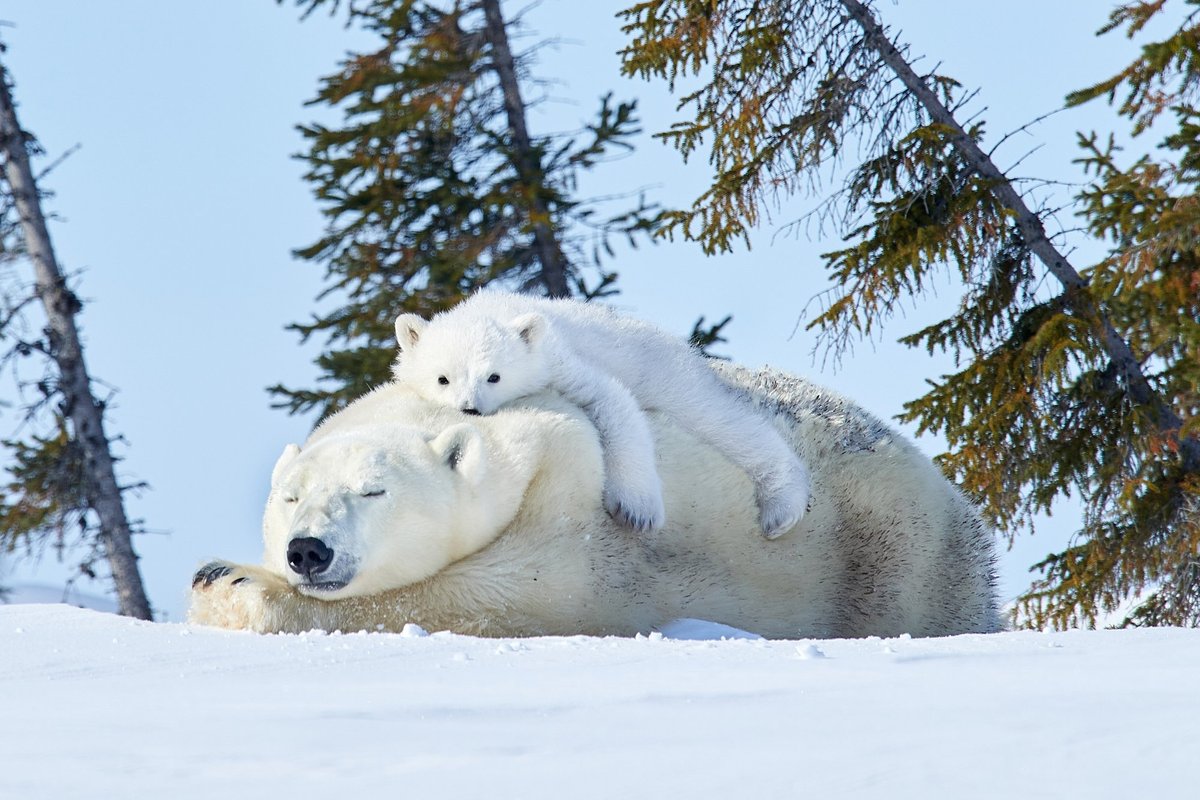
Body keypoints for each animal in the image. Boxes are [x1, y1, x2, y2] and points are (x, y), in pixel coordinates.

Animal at [189, 364, 993, 638]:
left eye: (373, 490)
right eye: (290, 497)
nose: (307, 550)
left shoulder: (576, 495)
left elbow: (503, 595)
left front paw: (231, 585)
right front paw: (221, 572)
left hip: (896, 548)